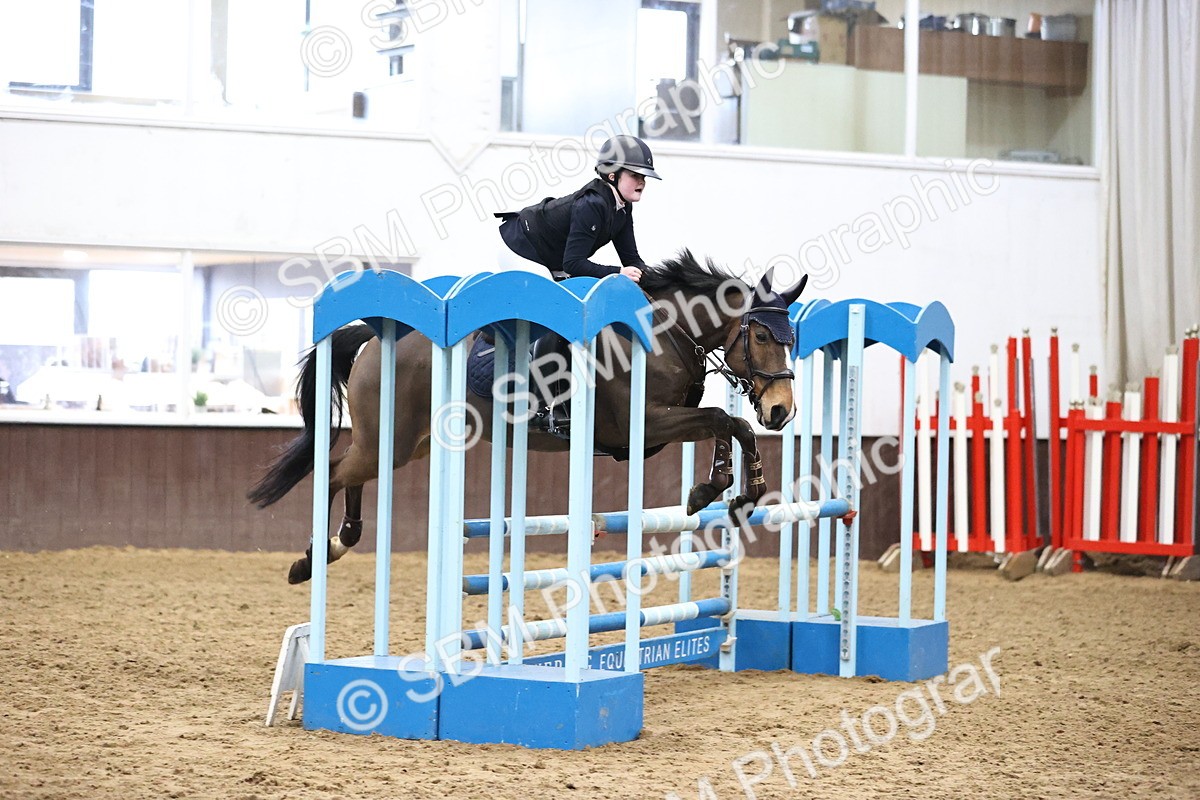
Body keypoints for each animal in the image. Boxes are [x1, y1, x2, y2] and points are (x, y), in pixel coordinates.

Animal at [248, 250, 807, 583]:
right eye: (761, 335)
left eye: (793, 339)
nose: (781, 410)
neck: (663, 334)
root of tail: (375, 339)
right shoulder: (642, 425)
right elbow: (721, 419)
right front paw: (715, 490)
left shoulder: (659, 429)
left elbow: (729, 425)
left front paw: (737, 491)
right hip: (390, 438)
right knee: (334, 471)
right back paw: (312, 558)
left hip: (409, 443)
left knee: (351, 474)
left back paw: (340, 543)